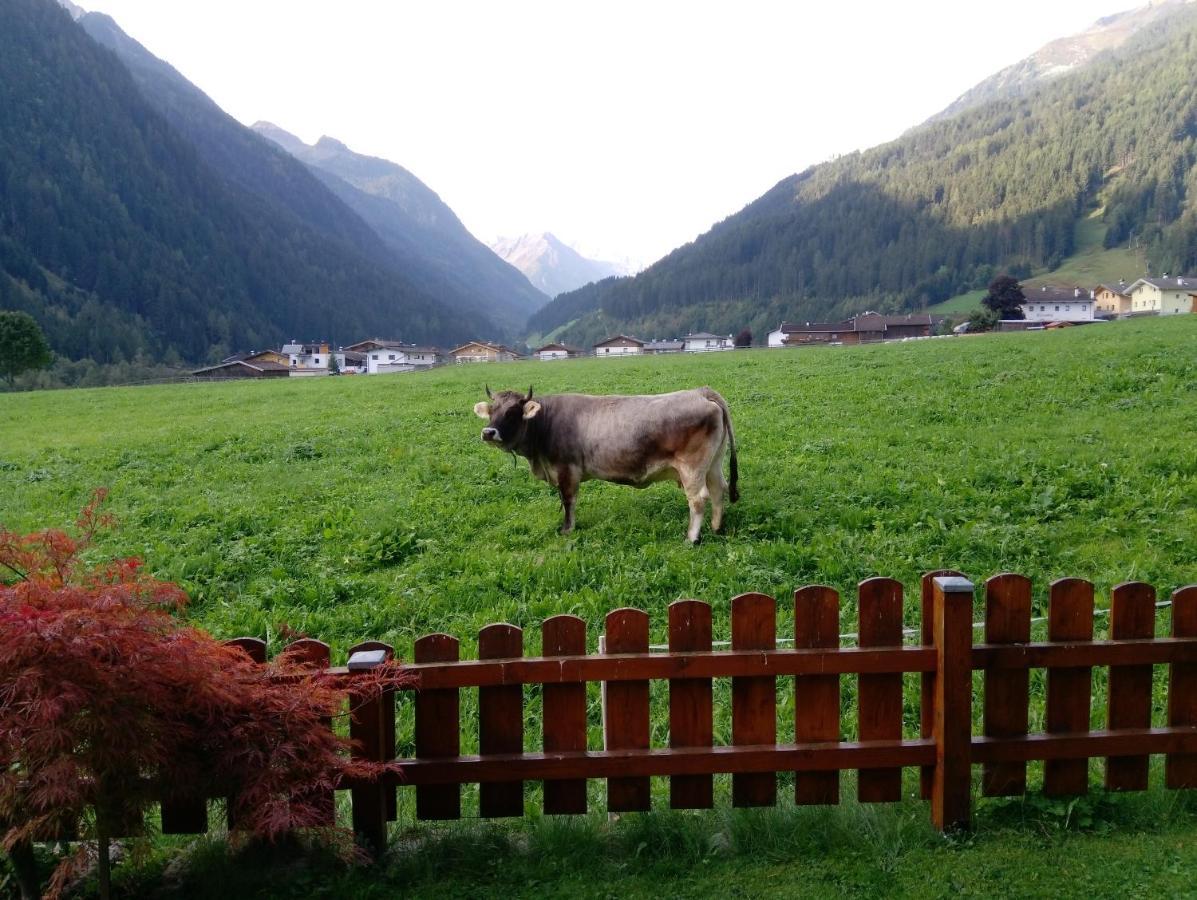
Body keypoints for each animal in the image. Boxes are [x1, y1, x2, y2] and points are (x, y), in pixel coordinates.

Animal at [471, 380, 732, 540]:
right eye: (492, 410)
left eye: (512, 413)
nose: (488, 432)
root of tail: (700, 392)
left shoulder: (567, 470)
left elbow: (568, 501)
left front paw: (567, 529)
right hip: (713, 463)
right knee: (719, 489)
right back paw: (716, 527)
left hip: (692, 468)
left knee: (698, 499)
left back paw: (692, 538)